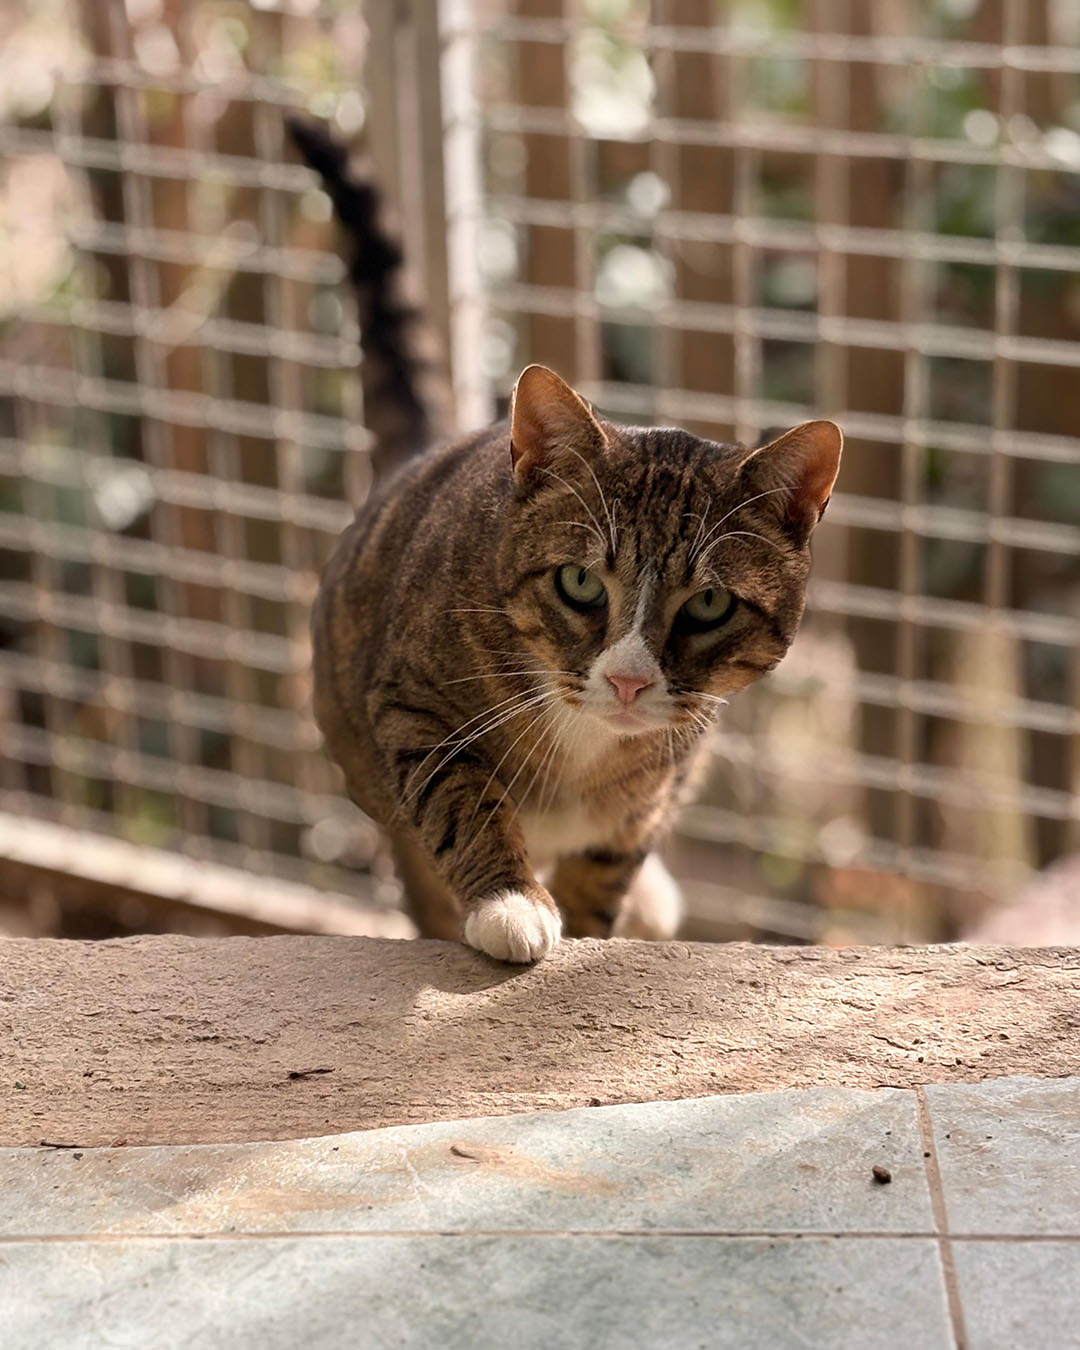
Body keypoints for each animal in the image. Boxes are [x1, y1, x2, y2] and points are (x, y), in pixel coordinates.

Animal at [290, 119, 842, 963]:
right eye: (579, 583)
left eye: (710, 604)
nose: (628, 682)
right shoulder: (413, 707)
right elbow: (459, 795)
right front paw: (509, 901)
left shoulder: (656, 790)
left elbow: (608, 865)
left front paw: (592, 925)